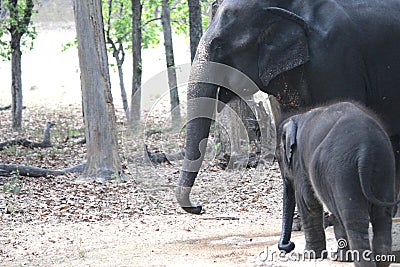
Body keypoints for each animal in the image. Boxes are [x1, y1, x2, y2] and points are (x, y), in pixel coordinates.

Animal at [276, 101, 398, 266]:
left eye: (278, 158)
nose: (289, 245)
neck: (297, 117)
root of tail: (365, 150)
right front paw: (339, 258)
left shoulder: (299, 163)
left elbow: (307, 202)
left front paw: (310, 255)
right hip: (385, 167)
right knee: (381, 216)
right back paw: (379, 261)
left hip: (341, 172)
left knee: (352, 219)